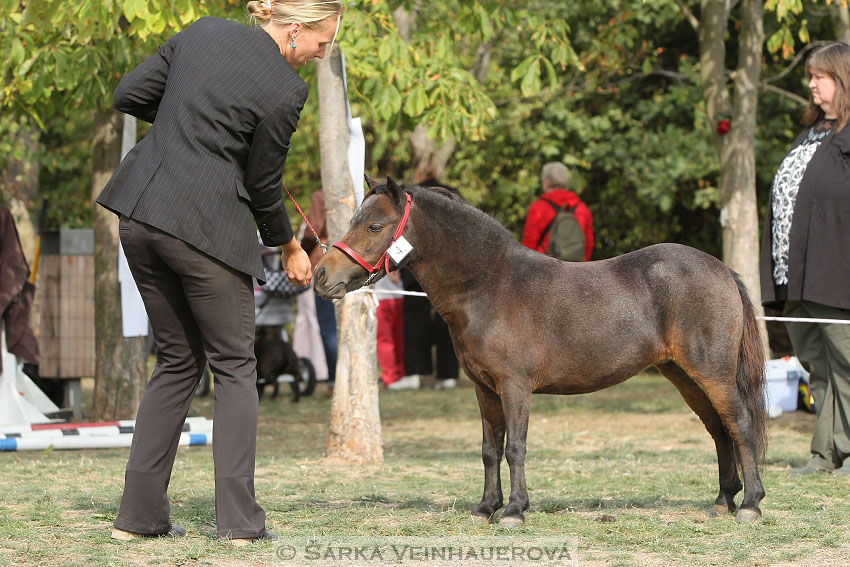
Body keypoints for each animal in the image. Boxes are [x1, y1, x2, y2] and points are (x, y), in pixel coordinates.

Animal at [314, 179, 764, 528]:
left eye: (374, 225)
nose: (321, 276)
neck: (488, 284)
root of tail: (721, 269)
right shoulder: (484, 389)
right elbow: (490, 449)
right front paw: (485, 507)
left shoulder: (515, 387)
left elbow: (515, 447)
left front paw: (514, 510)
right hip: (684, 375)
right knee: (719, 430)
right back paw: (723, 501)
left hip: (712, 373)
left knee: (739, 424)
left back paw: (750, 504)